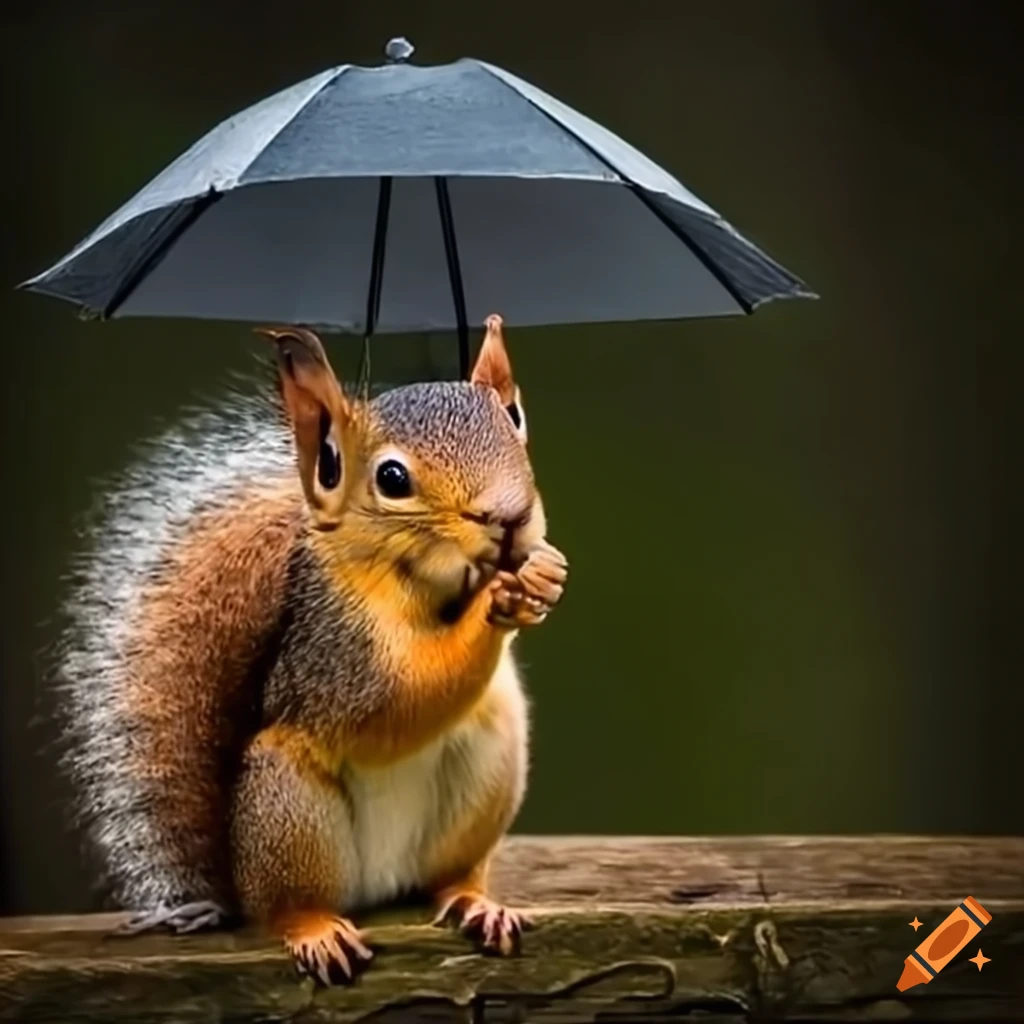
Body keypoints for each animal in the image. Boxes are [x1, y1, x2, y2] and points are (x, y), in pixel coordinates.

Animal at [54, 314, 568, 985]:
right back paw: (315, 930)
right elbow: (397, 703)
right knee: (291, 905)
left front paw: (543, 576)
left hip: (486, 767)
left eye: (515, 418)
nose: (510, 518)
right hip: (287, 807)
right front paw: (496, 600)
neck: (422, 584)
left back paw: (475, 902)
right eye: (392, 479)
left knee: (447, 877)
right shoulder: (335, 650)